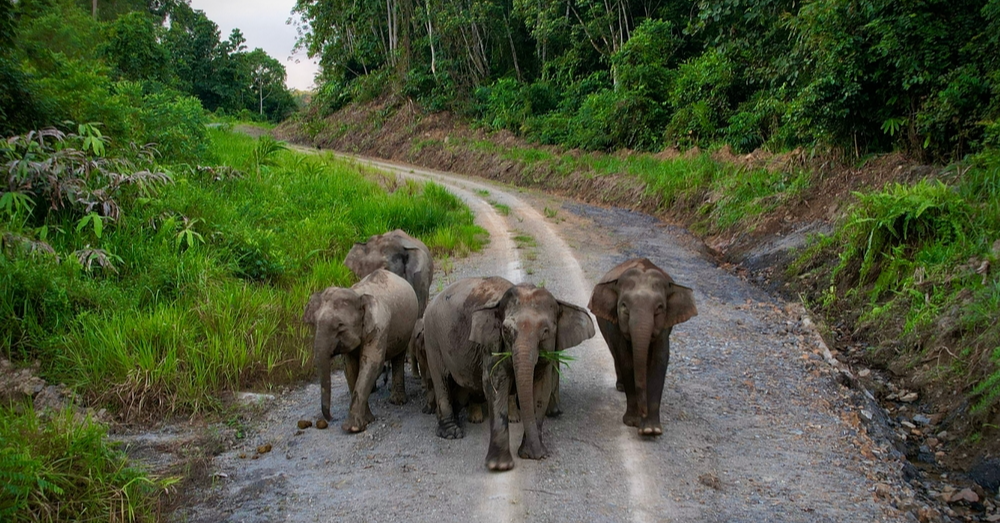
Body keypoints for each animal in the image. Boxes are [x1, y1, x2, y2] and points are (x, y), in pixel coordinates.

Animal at [300, 268, 418, 432]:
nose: (331, 418)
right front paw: (367, 420)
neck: (358, 295)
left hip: (406, 329)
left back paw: (398, 401)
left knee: (399, 356)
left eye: (340, 326)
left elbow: (371, 364)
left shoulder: (380, 325)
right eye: (315, 324)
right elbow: (350, 368)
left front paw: (352, 428)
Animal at [422, 278, 592, 474]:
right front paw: (500, 466)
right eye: (506, 330)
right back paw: (452, 433)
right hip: (432, 337)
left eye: (546, 331)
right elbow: (495, 385)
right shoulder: (491, 345)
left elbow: (542, 388)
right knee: (440, 378)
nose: (541, 455)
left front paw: (530, 455)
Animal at [584, 258, 696, 438]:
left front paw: (651, 430)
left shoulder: (664, 327)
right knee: (615, 353)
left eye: (659, 308)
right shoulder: (616, 324)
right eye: (624, 306)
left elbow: (659, 361)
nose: (643, 413)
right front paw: (633, 422)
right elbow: (626, 360)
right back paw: (621, 386)